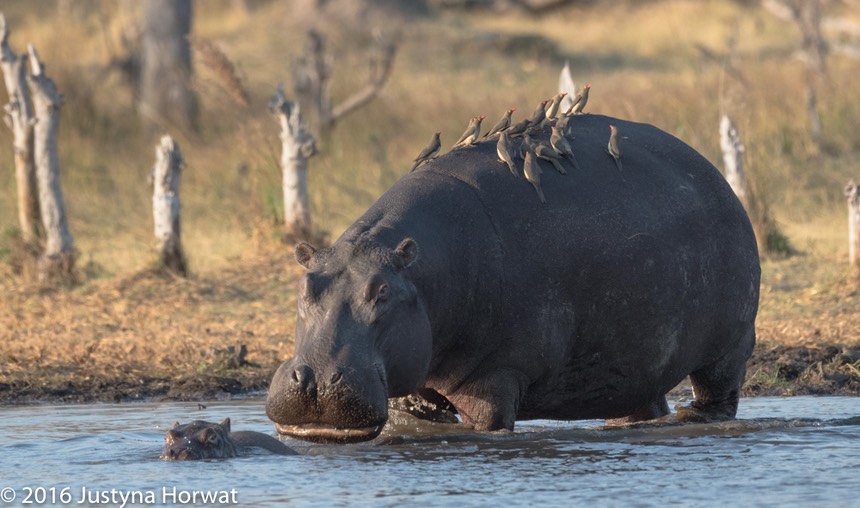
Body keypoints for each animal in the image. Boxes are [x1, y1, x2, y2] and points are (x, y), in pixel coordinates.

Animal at [264, 113, 760, 442]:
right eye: (305, 287)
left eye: (382, 292)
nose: (315, 380)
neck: (420, 271)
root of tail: (713, 174)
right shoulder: (413, 385)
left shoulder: (496, 378)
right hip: (636, 364)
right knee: (641, 400)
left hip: (730, 345)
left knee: (718, 391)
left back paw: (697, 421)